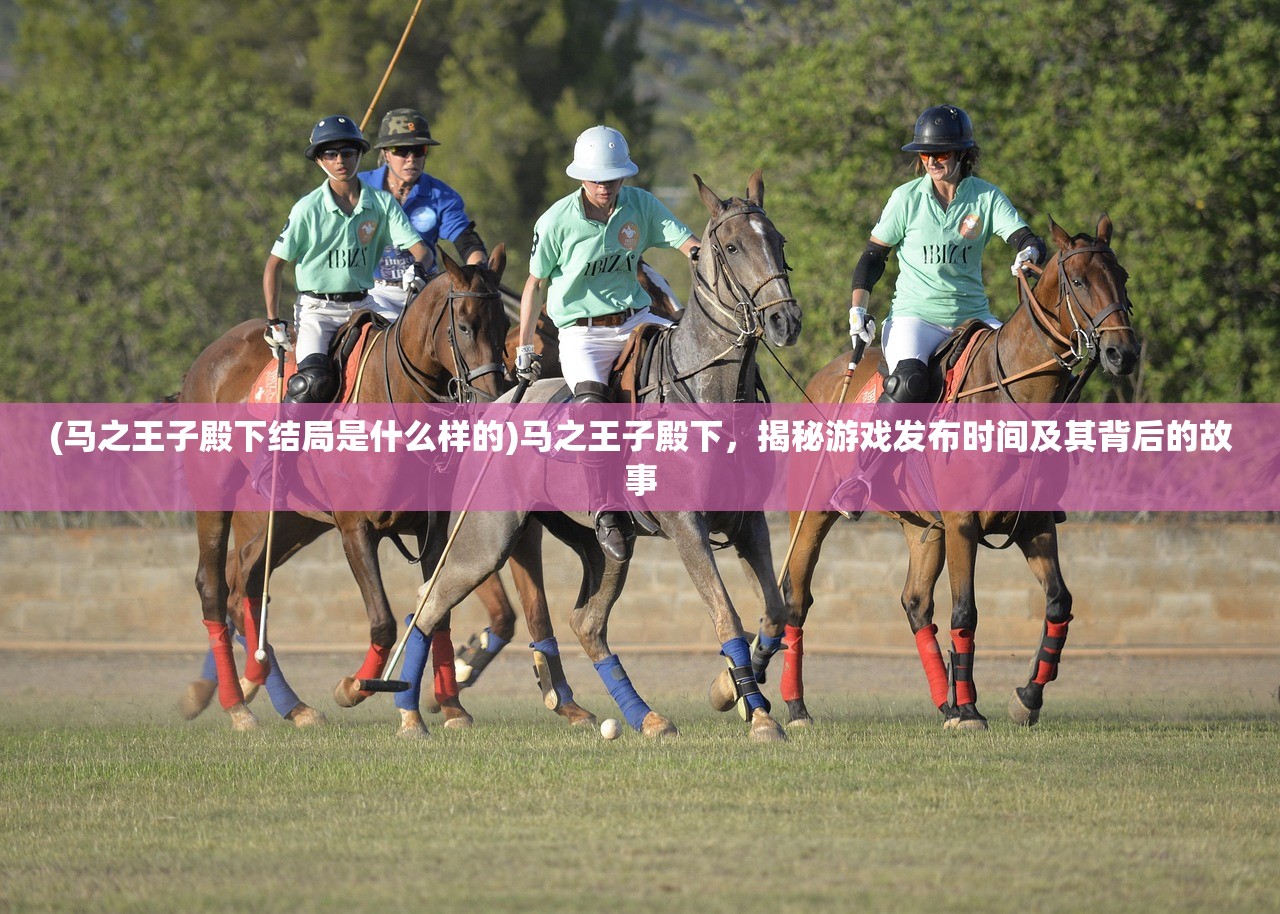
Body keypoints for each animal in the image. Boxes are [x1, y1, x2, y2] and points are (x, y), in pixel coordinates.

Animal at [180, 245, 593, 732]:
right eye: (465, 325)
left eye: (501, 328)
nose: (495, 398)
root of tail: (208, 356)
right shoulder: (356, 528)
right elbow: (385, 621)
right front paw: (357, 688)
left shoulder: (436, 529)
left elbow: (442, 614)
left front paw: (451, 707)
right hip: (218, 496)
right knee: (213, 586)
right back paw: (236, 705)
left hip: (292, 521)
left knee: (246, 582)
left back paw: (288, 704)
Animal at [381, 171, 798, 742]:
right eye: (732, 247)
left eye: (777, 240)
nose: (784, 321)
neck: (708, 390)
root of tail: (498, 405)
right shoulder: (686, 525)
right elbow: (726, 615)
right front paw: (757, 715)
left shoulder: (749, 521)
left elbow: (775, 611)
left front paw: (727, 691)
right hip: (485, 538)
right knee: (429, 603)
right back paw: (409, 716)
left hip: (603, 547)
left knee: (587, 622)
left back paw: (646, 717)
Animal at [752, 211, 1136, 727]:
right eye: (1077, 281)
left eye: (1123, 277)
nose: (1124, 353)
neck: (1011, 396)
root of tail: (826, 376)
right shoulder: (962, 523)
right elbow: (965, 612)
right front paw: (973, 709)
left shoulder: (1033, 523)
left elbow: (1059, 602)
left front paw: (1025, 698)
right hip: (812, 512)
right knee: (796, 597)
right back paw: (796, 706)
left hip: (922, 528)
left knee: (915, 602)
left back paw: (944, 702)